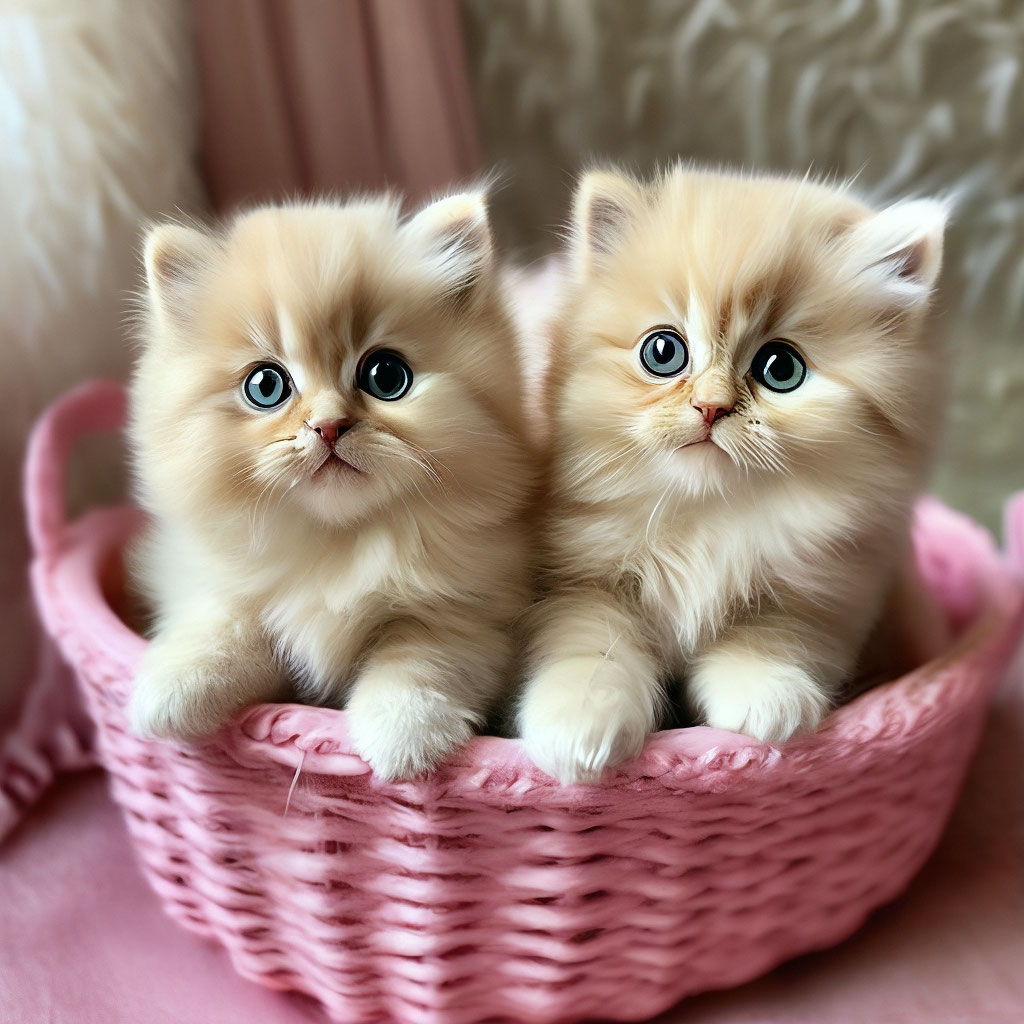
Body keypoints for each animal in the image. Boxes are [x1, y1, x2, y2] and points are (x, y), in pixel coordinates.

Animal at [128, 192, 536, 781]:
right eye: (266, 386)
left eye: (386, 377)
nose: (328, 425)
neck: (338, 544)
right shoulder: (206, 573)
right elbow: (224, 622)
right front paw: (169, 691)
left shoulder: (475, 608)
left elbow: (420, 657)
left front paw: (401, 738)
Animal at [519, 165, 948, 784]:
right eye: (662, 352)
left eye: (781, 368)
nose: (711, 406)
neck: (707, 516)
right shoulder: (580, 579)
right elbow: (591, 644)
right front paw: (578, 729)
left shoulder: (828, 584)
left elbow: (767, 635)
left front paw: (767, 697)